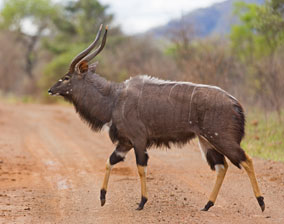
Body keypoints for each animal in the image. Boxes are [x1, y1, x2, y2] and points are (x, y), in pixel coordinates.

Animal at [48, 25, 264, 212]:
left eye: (66, 77)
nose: (51, 90)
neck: (114, 98)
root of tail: (236, 104)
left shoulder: (138, 140)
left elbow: (140, 167)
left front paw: (142, 202)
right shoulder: (125, 143)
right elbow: (109, 161)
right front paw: (102, 198)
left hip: (221, 138)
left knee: (246, 160)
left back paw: (261, 203)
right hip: (207, 141)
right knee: (222, 166)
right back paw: (207, 205)